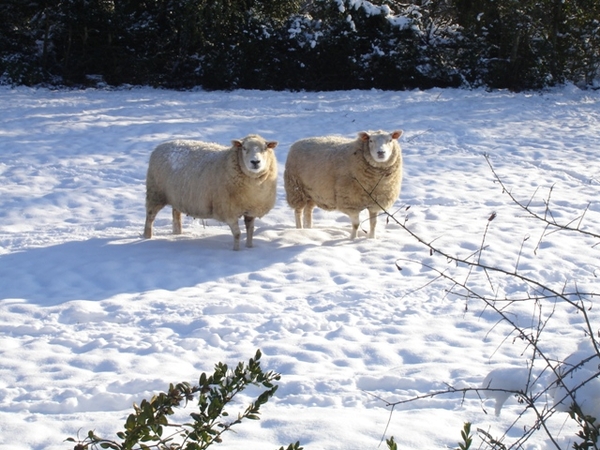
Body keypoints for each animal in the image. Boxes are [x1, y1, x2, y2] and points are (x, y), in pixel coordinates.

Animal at [144, 135, 278, 251]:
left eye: (265, 148)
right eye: (244, 148)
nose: (255, 162)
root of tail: (161, 145)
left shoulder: (250, 210)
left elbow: (250, 232)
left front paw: (250, 247)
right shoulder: (228, 211)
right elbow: (237, 234)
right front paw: (236, 251)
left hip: (177, 196)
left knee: (176, 214)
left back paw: (177, 233)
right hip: (155, 193)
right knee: (150, 217)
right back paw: (147, 237)